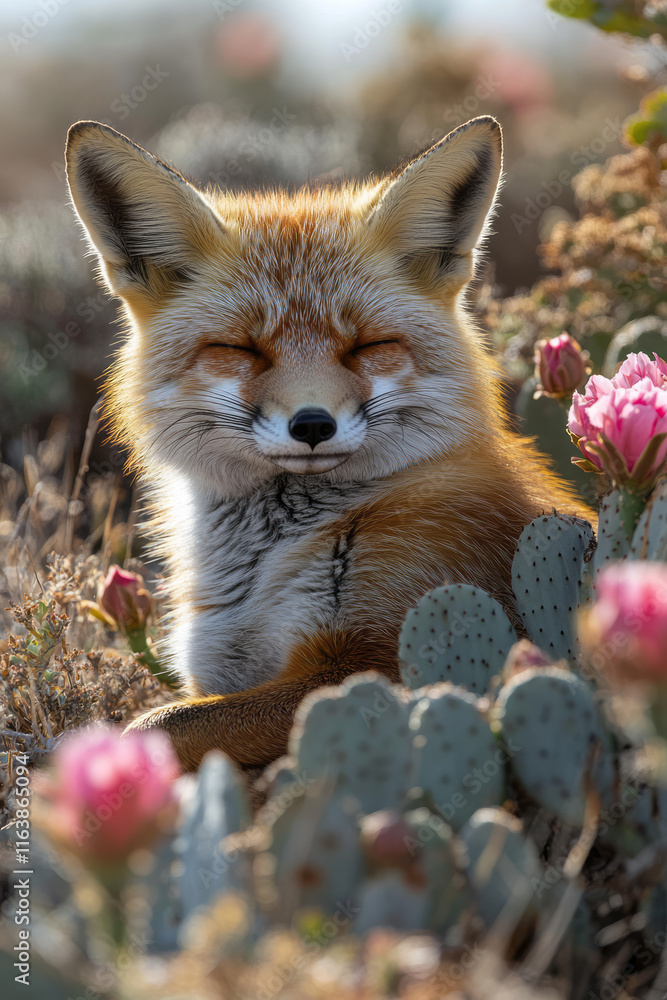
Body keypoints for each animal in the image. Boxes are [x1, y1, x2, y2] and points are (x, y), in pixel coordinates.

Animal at [65, 115, 588, 773]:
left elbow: (156, 724)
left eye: (367, 345)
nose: (312, 424)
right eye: (240, 349)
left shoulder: (375, 661)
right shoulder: (225, 666)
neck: (259, 573)